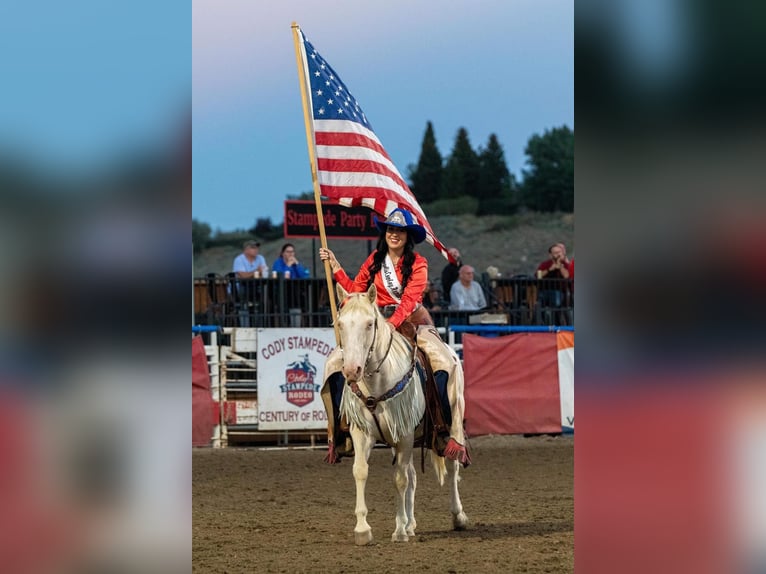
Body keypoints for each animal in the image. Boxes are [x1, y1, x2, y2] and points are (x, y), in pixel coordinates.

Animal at [332, 286, 468, 548]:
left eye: (370, 324)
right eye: (340, 323)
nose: (352, 371)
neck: (377, 385)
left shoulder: (404, 434)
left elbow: (400, 479)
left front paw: (399, 530)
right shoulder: (363, 433)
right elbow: (361, 471)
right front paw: (363, 529)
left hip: (449, 424)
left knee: (452, 464)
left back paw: (458, 516)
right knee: (413, 474)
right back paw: (411, 524)